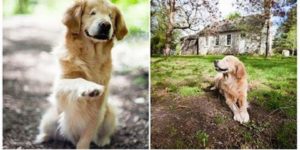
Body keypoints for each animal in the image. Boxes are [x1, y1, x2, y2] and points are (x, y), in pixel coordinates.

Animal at [34, 0, 127, 148]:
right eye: (92, 13)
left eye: (110, 16)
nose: (106, 25)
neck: (91, 56)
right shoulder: (58, 87)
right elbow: (77, 79)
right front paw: (91, 88)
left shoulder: (98, 109)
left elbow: (86, 137)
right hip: (49, 118)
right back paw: (43, 137)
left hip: (110, 114)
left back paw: (103, 140)